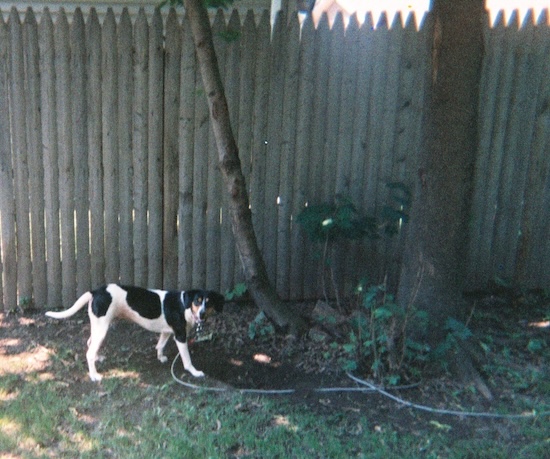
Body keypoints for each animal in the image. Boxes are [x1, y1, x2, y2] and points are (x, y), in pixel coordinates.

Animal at [44, 286, 222, 382]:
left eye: (209, 302)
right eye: (197, 301)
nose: (202, 315)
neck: (184, 304)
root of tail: (95, 291)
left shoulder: (166, 331)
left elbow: (160, 345)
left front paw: (160, 357)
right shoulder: (180, 335)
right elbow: (187, 360)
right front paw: (195, 372)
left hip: (97, 327)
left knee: (90, 345)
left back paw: (98, 358)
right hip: (102, 328)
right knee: (89, 352)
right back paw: (94, 375)